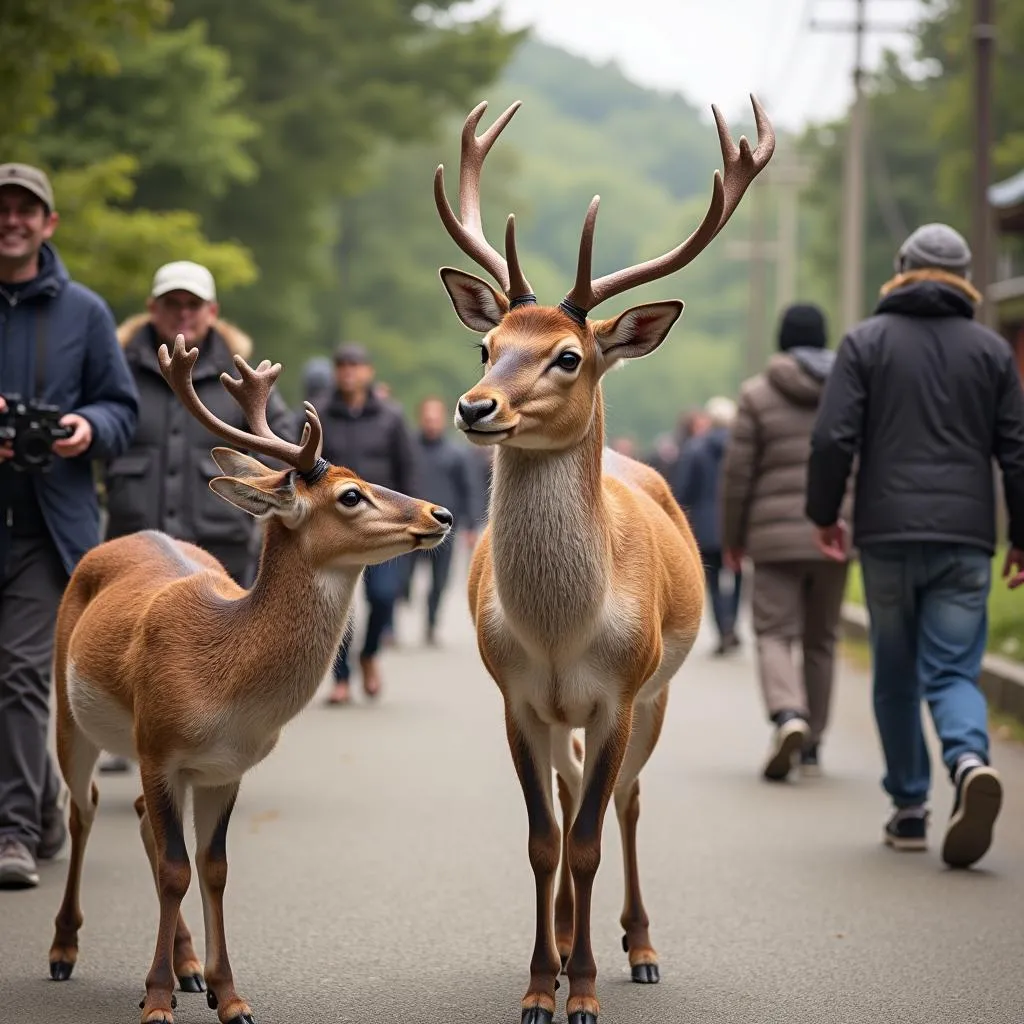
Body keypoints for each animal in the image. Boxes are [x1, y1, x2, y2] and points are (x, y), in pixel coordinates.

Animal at [44, 335, 452, 1024]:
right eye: (350, 495)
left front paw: (228, 995)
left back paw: (185, 966)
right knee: (85, 809)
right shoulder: (158, 747)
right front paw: (156, 1001)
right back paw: (64, 951)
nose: (441, 512)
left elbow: (211, 869)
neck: (223, 686)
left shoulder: (225, 767)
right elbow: (177, 871)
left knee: (141, 823)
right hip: (70, 716)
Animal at [432, 97, 774, 1024]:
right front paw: (538, 984)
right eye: (487, 347)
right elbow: (542, 838)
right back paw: (563, 936)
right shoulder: (517, 696)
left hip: (655, 694)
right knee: (571, 789)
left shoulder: (620, 691)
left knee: (623, 799)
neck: (559, 630)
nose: (476, 407)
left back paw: (641, 945)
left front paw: (583, 990)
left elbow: (585, 840)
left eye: (568, 355)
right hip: (565, 717)